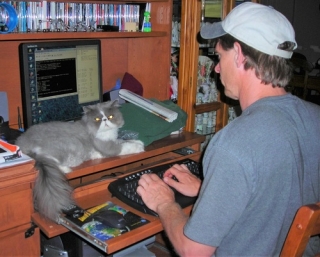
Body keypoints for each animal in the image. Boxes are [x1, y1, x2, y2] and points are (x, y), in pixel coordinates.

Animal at [16, 99, 144, 220]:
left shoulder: (113, 140)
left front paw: (138, 141)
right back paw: (66, 169)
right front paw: (139, 147)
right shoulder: (107, 147)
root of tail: (23, 143)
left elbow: (123, 140)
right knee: (50, 160)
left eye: (111, 116)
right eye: (97, 119)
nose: (105, 120)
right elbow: (124, 146)